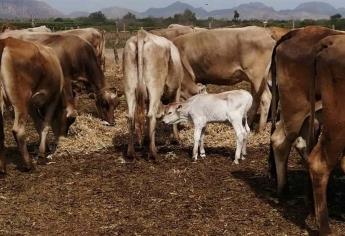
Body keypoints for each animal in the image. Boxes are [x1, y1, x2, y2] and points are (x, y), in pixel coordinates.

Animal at [0, 37, 75, 173]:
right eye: (71, 119)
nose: (63, 138)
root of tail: (6, 41)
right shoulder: (52, 100)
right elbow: (45, 125)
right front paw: (41, 153)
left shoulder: (31, 105)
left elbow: (38, 124)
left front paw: (45, 147)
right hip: (20, 99)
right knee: (18, 130)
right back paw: (29, 164)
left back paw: (2, 167)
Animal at [123, 28, 183, 159]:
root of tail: (142, 34)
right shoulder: (177, 89)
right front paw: (176, 138)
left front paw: (146, 139)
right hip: (155, 87)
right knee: (151, 115)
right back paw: (153, 153)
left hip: (130, 87)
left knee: (131, 116)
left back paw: (131, 152)